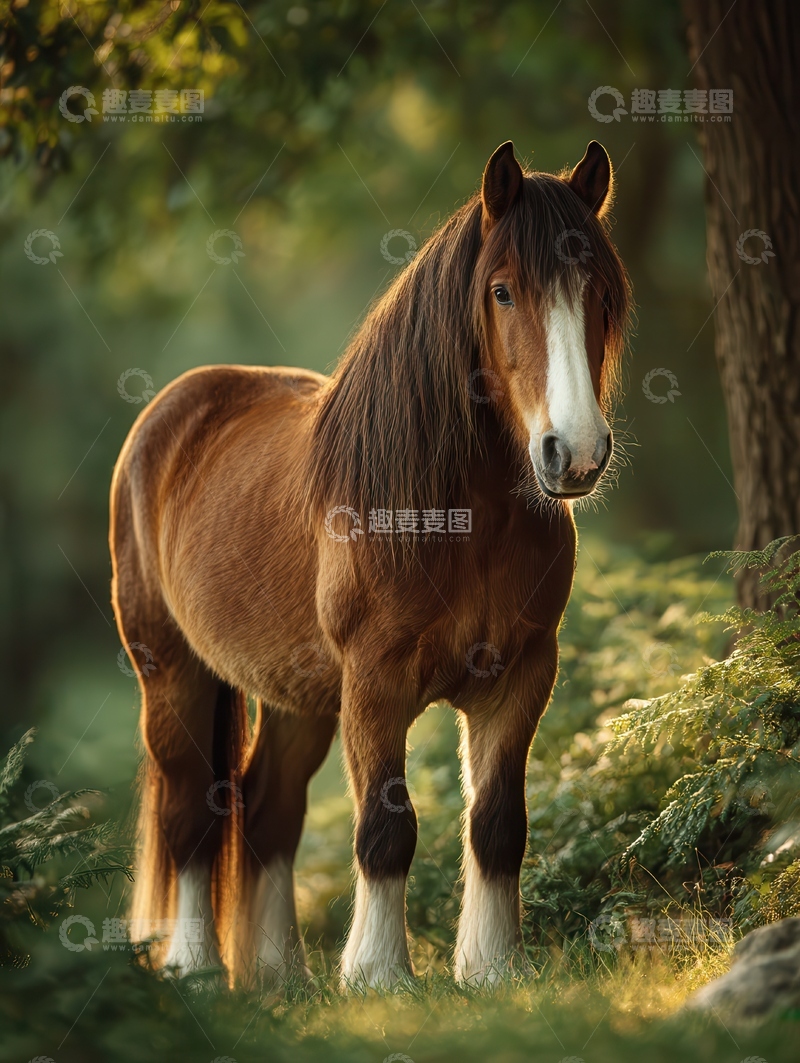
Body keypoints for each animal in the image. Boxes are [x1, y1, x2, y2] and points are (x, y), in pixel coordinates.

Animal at [110, 139, 630, 989]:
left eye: (604, 293)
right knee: (192, 812)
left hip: (297, 695)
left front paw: (492, 967)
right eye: (502, 291)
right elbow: (387, 827)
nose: (574, 453)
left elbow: (498, 822)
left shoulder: (520, 675)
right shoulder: (375, 685)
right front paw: (379, 975)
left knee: (269, 809)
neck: (458, 517)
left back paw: (280, 976)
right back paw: (194, 968)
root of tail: (173, 411)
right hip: (172, 670)